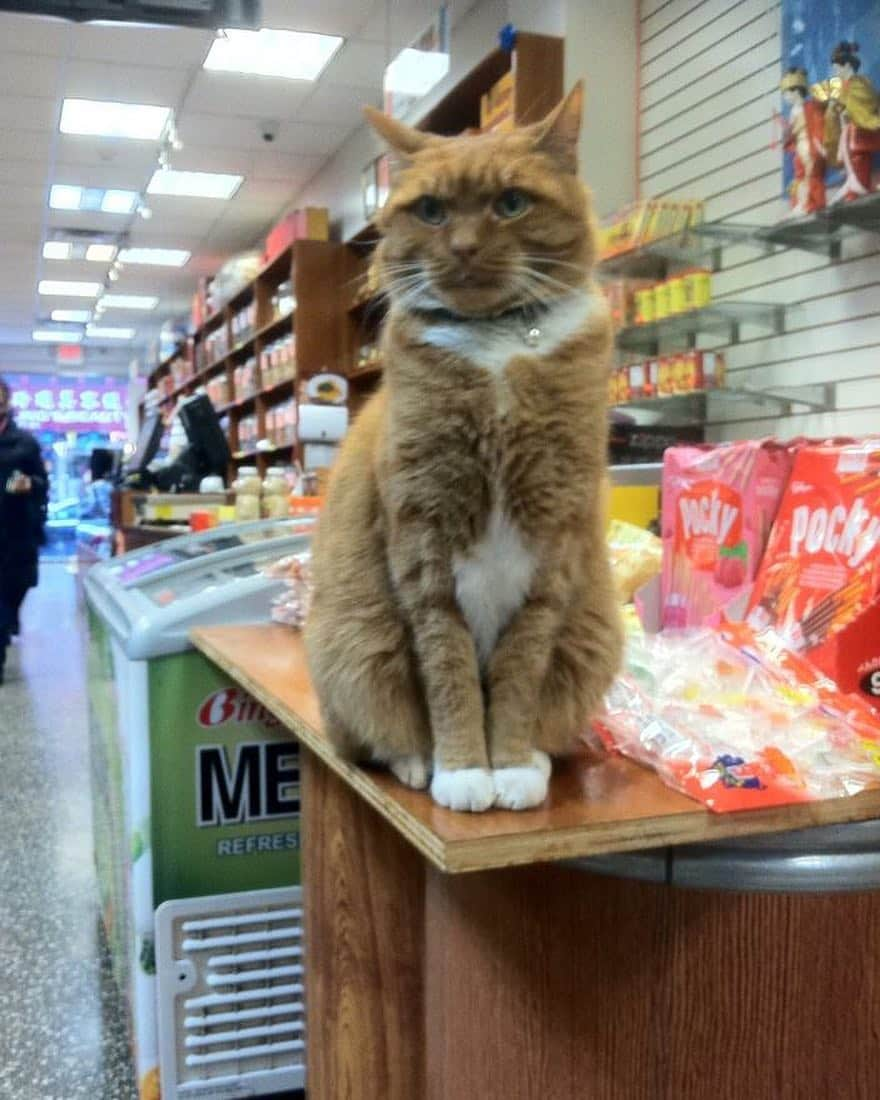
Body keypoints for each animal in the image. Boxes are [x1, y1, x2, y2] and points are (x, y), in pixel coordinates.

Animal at [305, 83, 620, 809]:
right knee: (370, 736)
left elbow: (519, 673)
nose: (466, 247)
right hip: (353, 647)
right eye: (431, 210)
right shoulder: (423, 538)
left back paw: (536, 759)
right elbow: (446, 667)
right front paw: (463, 769)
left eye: (511, 202)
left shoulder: (553, 543)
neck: (498, 346)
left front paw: (509, 764)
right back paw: (415, 763)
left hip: (591, 639)